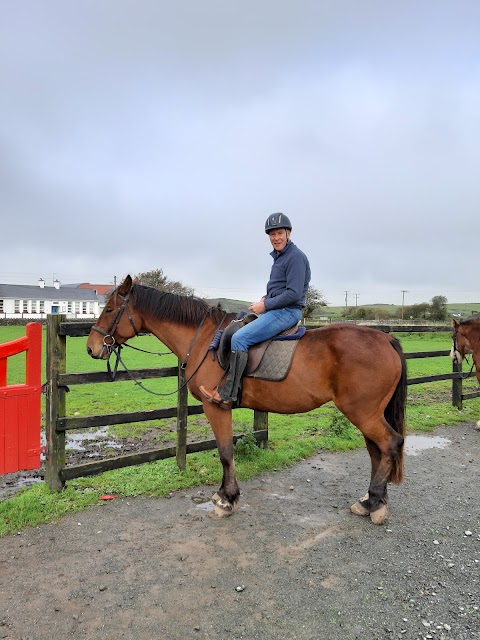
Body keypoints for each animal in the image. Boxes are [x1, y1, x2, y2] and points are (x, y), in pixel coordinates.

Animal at [86, 276, 404, 524]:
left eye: (110, 309)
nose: (91, 348)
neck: (205, 340)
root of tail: (385, 339)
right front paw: (226, 496)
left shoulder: (215, 406)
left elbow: (225, 452)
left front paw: (226, 499)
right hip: (367, 414)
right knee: (376, 451)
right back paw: (370, 502)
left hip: (362, 412)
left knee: (390, 444)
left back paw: (374, 503)